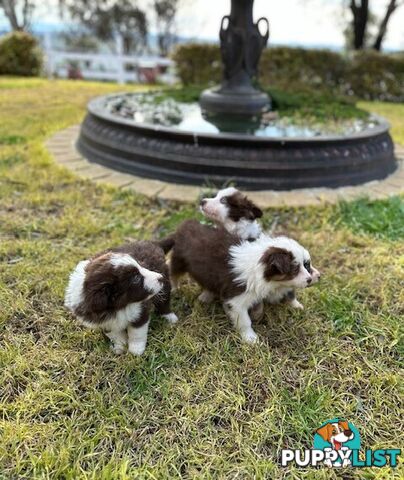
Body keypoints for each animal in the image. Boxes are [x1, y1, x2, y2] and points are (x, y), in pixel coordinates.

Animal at [159, 219, 320, 344]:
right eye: (295, 269)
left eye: (306, 264)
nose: (313, 278)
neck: (260, 266)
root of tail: (184, 225)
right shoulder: (237, 299)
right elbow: (244, 320)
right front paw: (251, 339)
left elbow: (258, 307)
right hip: (180, 260)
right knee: (174, 272)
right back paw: (175, 288)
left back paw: (206, 295)